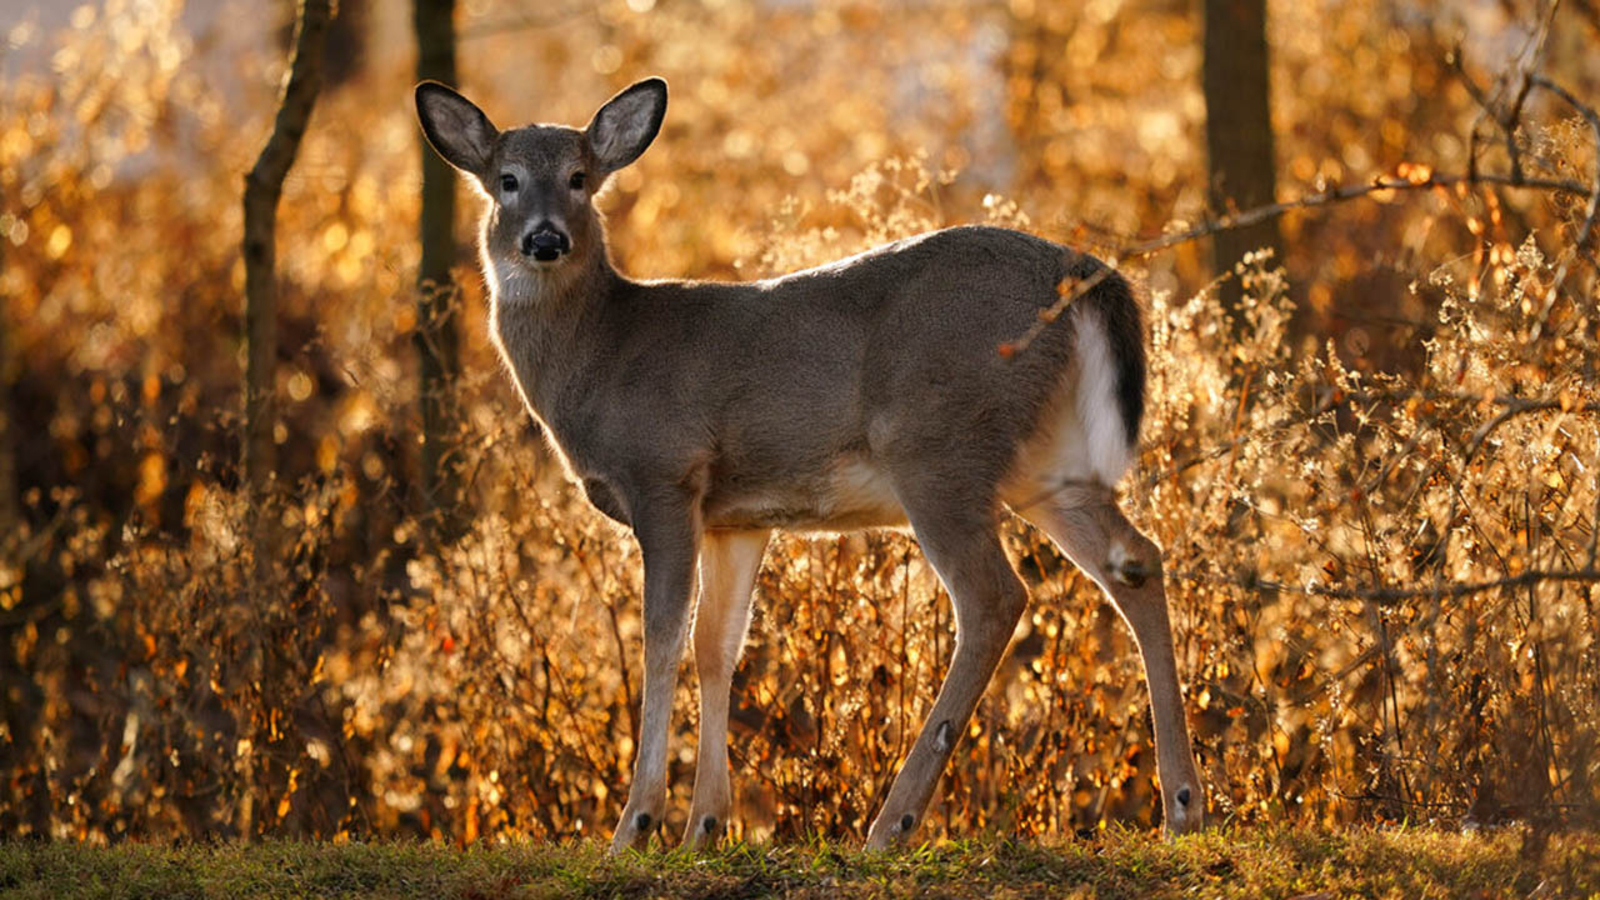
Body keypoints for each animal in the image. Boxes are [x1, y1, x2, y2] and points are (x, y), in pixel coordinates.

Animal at [413, 76, 1204, 853]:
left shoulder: (664, 473)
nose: (545, 239)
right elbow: (716, 646)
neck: (602, 356)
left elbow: (660, 642)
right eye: (507, 180)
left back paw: (892, 824)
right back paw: (1184, 804)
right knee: (1136, 559)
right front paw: (705, 827)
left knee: (994, 597)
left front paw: (635, 826)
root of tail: (1086, 272)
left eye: (579, 178)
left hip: (936, 442)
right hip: (1045, 459)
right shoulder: (736, 517)